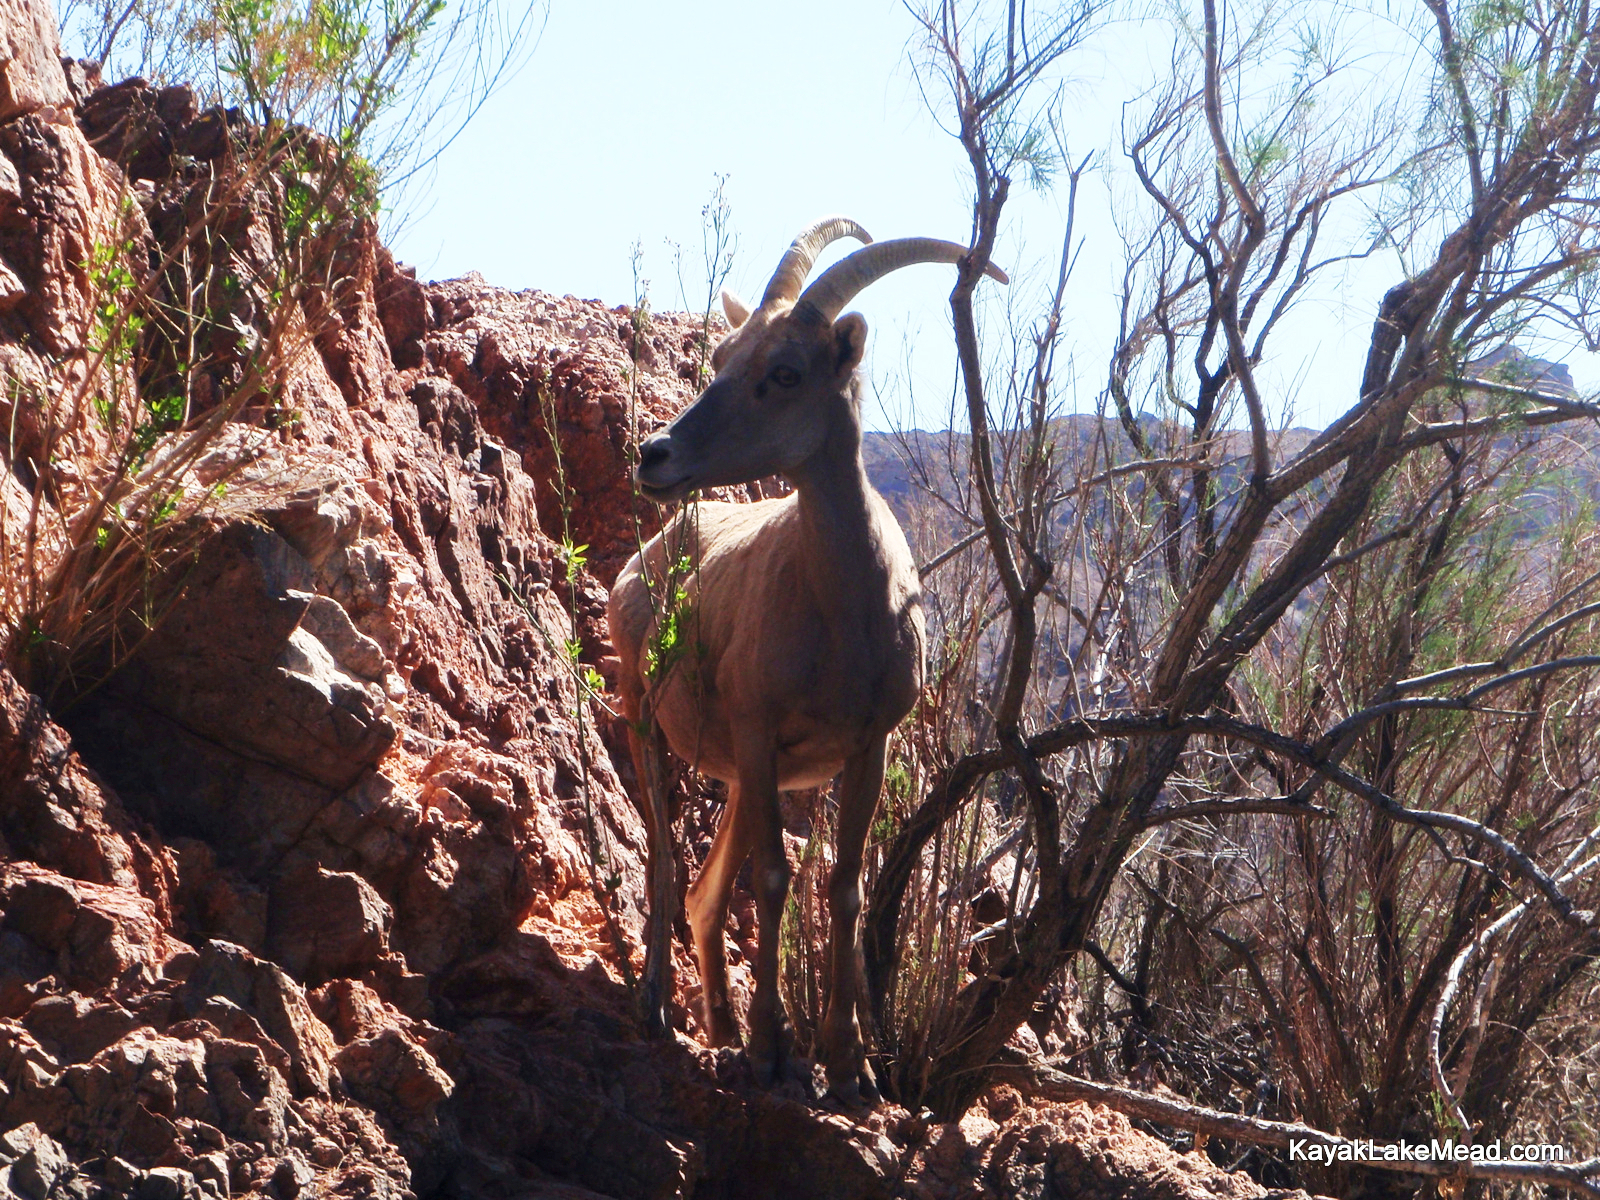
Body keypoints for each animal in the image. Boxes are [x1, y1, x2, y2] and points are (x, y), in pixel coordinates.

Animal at [604, 220, 1004, 1107]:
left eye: (784, 372)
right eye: (722, 356)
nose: (654, 454)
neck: (842, 615)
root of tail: (643, 561)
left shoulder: (864, 746)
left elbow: (844, 884)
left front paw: (848, 1064)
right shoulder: (760, 731)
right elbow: (774, 881)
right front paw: (774, 1054)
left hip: (738, 778)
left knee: (705, 889)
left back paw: (717, 1025)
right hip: (647, 719)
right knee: (665, 862)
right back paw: (658, 1008)